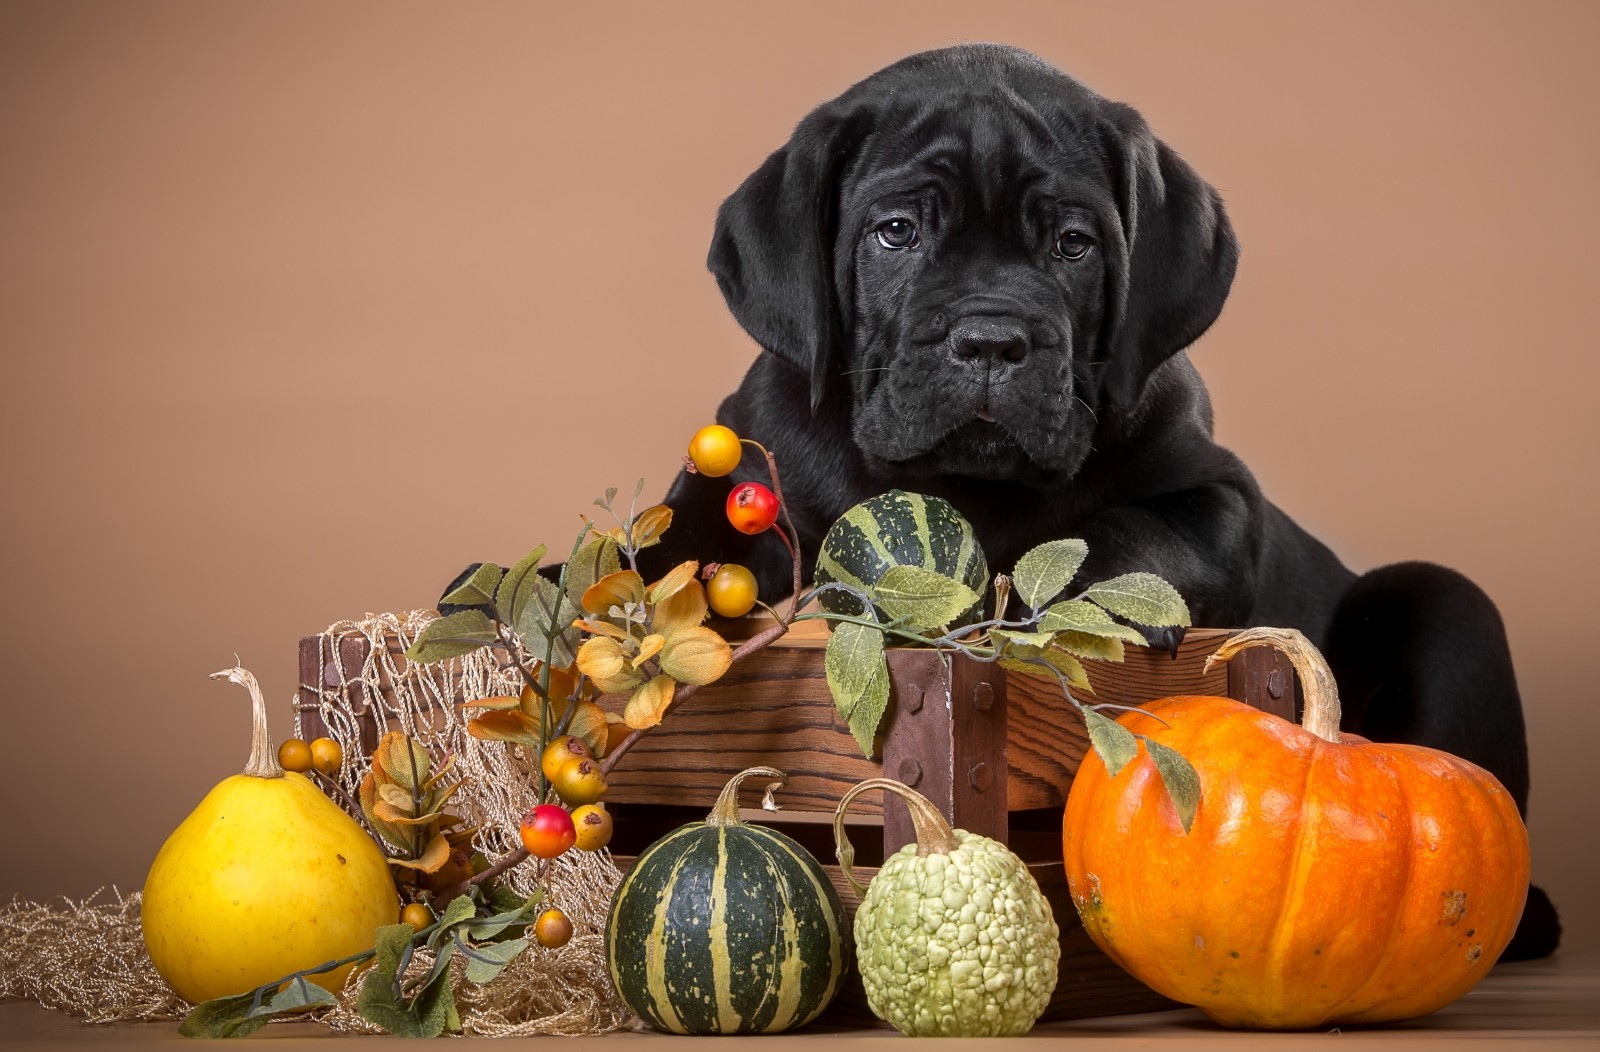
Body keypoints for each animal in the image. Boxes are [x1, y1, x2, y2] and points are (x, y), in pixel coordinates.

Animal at [444, 45, 1555, 952]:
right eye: (894, 232)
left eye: (1072, 243)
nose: (989, 339)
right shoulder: (741, 486)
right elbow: (668, 549)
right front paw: (551, 594)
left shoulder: (1221, 494)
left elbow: (1131, 527)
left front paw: (1068, 598)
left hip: (1448, 600)